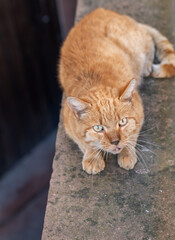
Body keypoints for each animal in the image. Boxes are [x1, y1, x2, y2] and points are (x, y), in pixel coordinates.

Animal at [58, 7, 175, 172]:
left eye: (123, 122)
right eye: (98, 128)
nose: (115, 142)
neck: (97, 82)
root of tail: (102, 10)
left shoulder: (139, 113)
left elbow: (131, 135)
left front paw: (126, 153)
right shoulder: (68, 124)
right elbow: (84, 142)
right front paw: (92, 157)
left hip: (137, 45)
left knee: (149, 42)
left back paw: (147, 66)